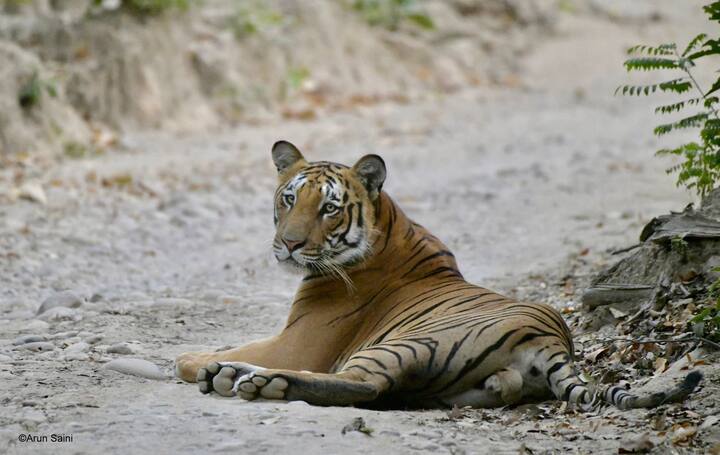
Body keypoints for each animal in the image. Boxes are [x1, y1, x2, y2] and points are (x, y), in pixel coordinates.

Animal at [176, 140, 704, 410]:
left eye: (328, 208)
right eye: (289, 199)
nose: (288, 244)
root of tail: (553, 339)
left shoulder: (298, 343)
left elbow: (219, 350)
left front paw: (191, 359)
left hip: (403, 343)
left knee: (362, 386)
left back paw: (243, 378)